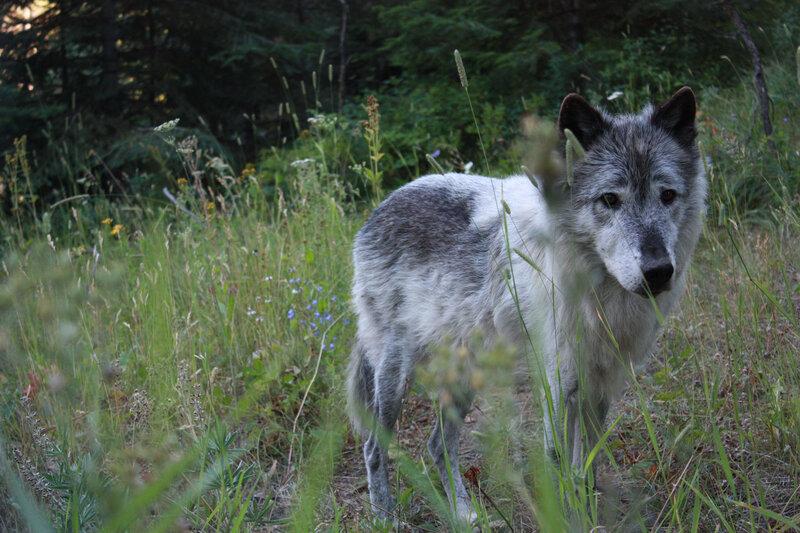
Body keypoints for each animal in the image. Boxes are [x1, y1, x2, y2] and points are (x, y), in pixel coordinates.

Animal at [347, 87, 706, 522]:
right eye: (610, 199)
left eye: (667, 195)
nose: (658, 272)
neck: (597, 290)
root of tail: (383, 205)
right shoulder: (558, 385)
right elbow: (558, 464)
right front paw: (569, 520)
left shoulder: (599, 385)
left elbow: (587, 465)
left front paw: (588, 515)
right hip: (395, 375)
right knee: (374, 447)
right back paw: (385, 516)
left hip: (462, 377)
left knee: (437, 444)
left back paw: (464, 514)